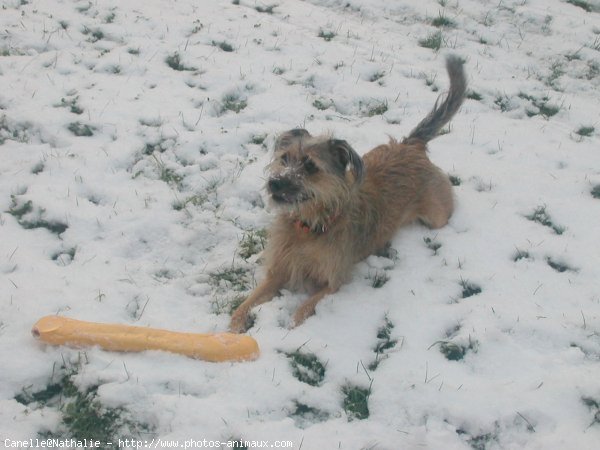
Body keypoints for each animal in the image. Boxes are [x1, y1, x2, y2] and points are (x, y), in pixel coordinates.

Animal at [230, 55, 468, 334]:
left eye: (310, 165)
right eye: (284, 158)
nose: (275, 183)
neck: (308, 228)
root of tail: (412, 146)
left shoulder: (333, 282)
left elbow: (302, 311)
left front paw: (290, 326)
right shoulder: (278, 270)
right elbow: (247, 302)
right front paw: (235, 325)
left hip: (437, 216)